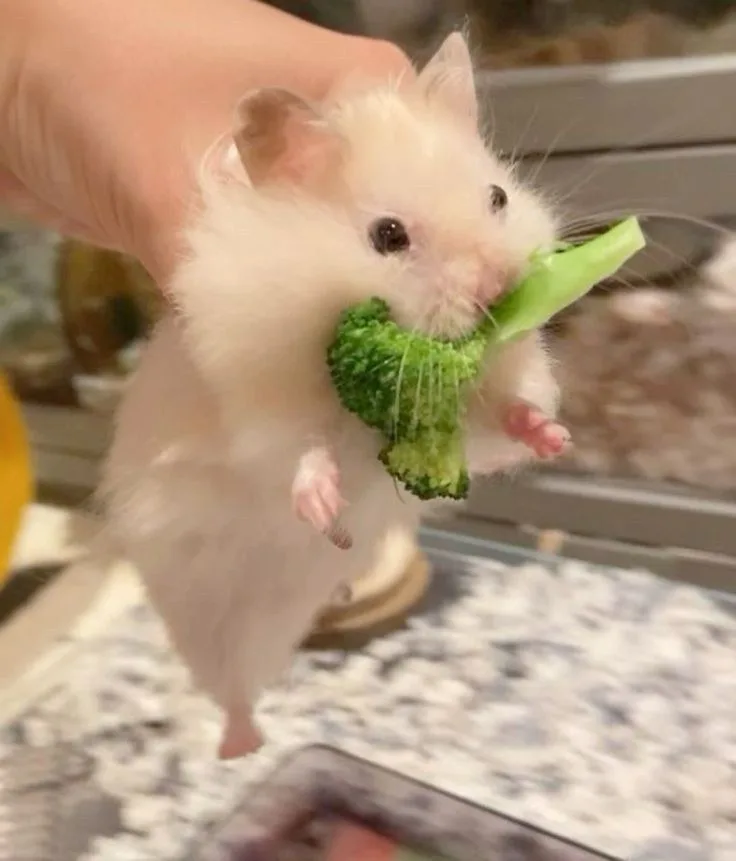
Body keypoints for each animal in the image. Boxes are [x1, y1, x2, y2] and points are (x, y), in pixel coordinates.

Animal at [101, 31, 569, 759]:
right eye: (388, 236)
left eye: (497, 197)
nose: (499, 288)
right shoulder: (256, 406)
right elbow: (302, 447)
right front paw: (325, 509)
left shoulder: (476, 404)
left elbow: (504, 415)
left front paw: (554, 436)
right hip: (198, 615)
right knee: (228, 691)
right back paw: (240, 751)